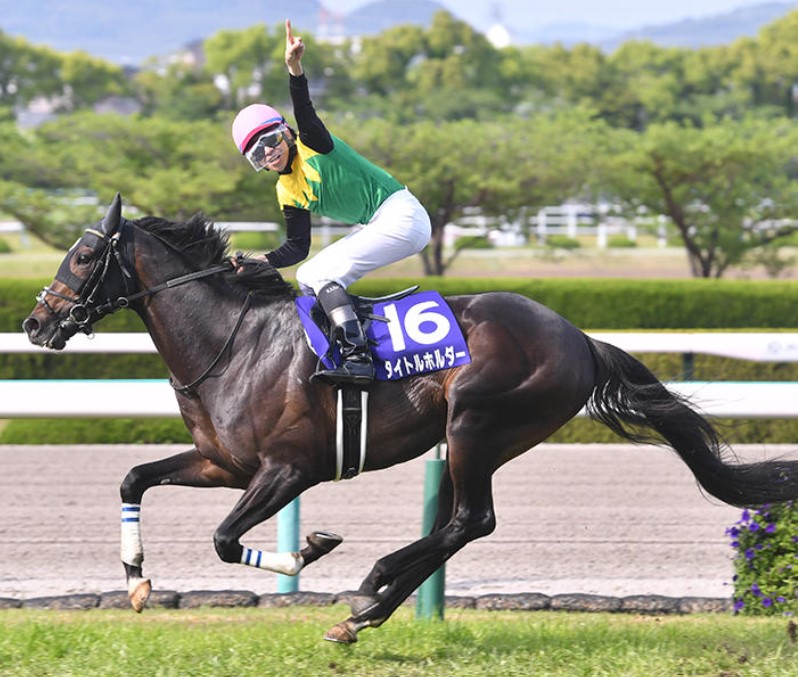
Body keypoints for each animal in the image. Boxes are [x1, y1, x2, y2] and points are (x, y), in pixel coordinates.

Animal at [21, 193, 798, 640]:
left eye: (84, 255)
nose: (35, 323)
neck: (234, 342)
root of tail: (578, 336)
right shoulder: (224, 463)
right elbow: (132, 477)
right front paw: (135, 580)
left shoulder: (288, 469)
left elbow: (222, 538)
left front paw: (311, 549)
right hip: (471, 437)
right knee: (459, 523)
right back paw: (368, 611)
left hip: (477, 422)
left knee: (469, 519)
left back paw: (371, 588)